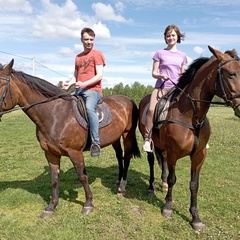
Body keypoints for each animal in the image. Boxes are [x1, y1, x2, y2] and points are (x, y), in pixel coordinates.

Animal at [0, 59, 141, 218]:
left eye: (1, 85)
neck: (55, 115)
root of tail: (128, 99)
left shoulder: (75, 153)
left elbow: (82, 176)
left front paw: (88, 204)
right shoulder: (50, 153)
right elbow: (54, 179)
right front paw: (51, 206)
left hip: (127, 134)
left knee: (127, 157)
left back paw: (122, 187)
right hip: (115, 138)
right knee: (119, 156)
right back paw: (118, 181)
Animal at [139, 46, 240, 232]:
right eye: (231, 74)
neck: (192, 117)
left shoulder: (199, 156)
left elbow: (194, 184)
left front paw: (195, 218)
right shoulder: (174, 153)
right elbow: (173, 179)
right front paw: (168, 208)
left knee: (162, 160)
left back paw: (162, 183)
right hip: (149, 140)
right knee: (151, 161)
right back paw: (151, 187)